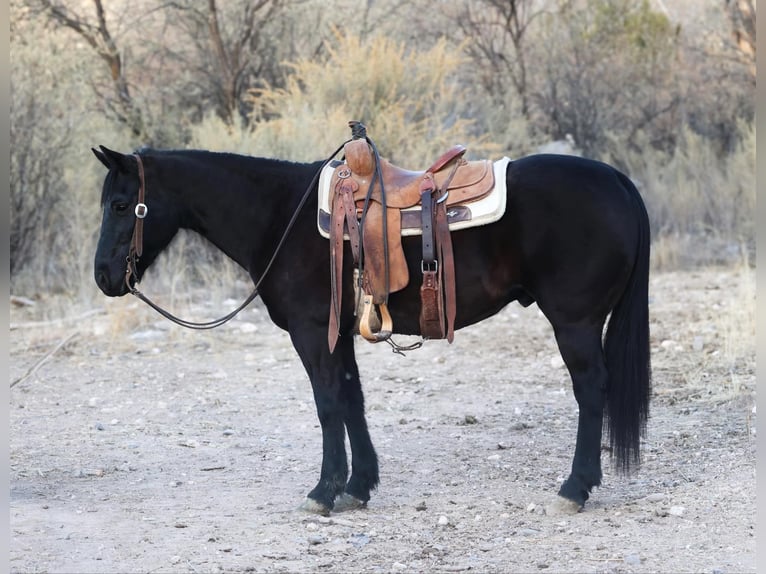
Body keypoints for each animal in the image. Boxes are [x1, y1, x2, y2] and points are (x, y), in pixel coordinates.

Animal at [92, 143, 651, 515]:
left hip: (575, 323)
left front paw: (324, 490)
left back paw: (576, 487)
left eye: (121, 204)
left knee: (591, 389)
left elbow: (327, 405)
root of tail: (619, 182)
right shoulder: (339, 335)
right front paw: (358, 485)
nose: (103, 276)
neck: (280, 217)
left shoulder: (311, 333)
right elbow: (351, 399)